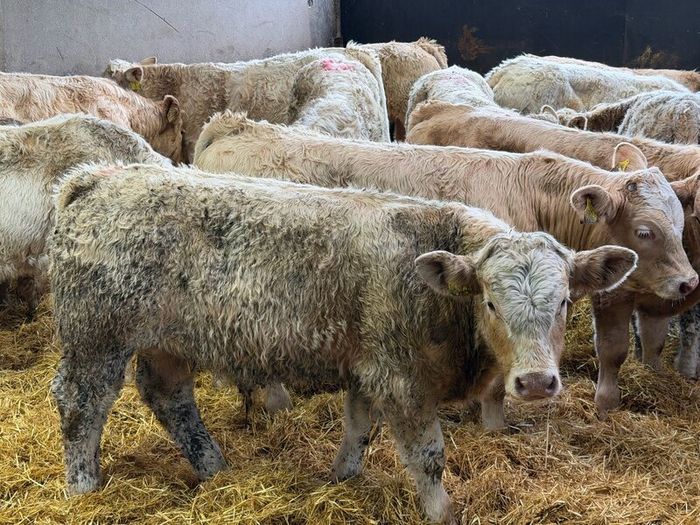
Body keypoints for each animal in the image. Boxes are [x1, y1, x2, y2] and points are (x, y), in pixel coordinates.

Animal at [50, 162, 636, 524]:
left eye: (565, 302)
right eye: (490, 302)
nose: (536, 382)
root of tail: (95, 178)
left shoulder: (366, 364)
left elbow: (358, 427)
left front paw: (340, 478)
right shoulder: (399, 378)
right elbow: (428, 455)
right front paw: (441, 511)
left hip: (166, 341)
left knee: (169, 399)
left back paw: (214, 468)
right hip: (95, 336)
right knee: (81, 404)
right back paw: (83, 487)